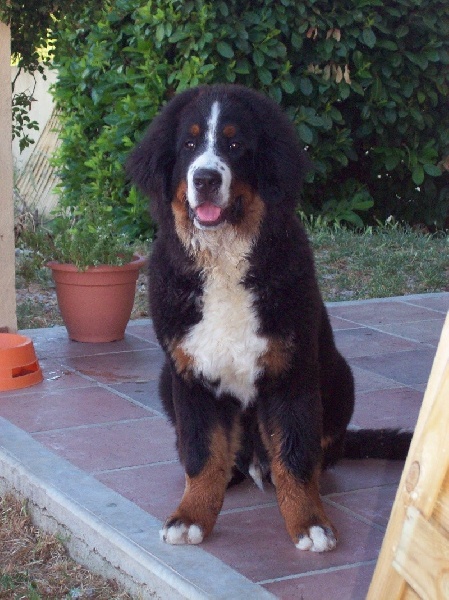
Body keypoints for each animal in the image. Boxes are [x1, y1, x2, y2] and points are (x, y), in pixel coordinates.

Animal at [127, 84, 410, 552]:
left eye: (235, 144)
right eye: (188, 145)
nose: (205, 179)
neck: (224, 262)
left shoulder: (290, 370)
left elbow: (294, 454)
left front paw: (309, 523)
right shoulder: (190, 375)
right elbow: (202, 453)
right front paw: (191, 515)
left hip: (338, 374)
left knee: (315, 453)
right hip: (166, 380)